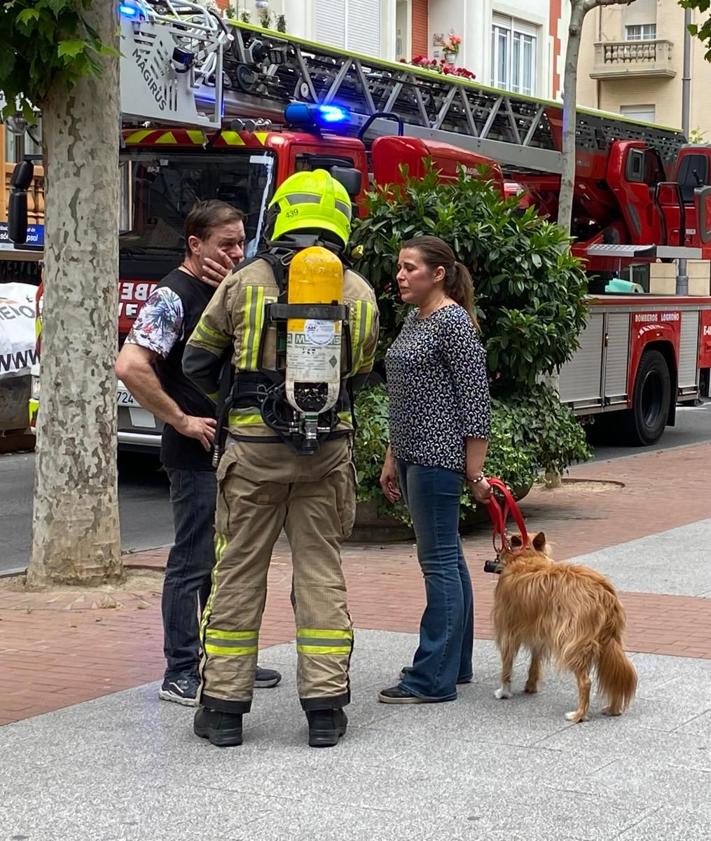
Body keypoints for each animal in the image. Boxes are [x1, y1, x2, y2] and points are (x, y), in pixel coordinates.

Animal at [492, 532, 636, 720]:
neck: (527, 558)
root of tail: (603, 592)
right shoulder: (538, 634)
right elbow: (534, 662)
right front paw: (530, 685)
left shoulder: (507, 632)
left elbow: (506, 666)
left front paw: (503, 692)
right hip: (609, 641)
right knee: (615, 674)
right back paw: (614, 708)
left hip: (574, 642)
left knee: (586, 681)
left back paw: (579, 715)